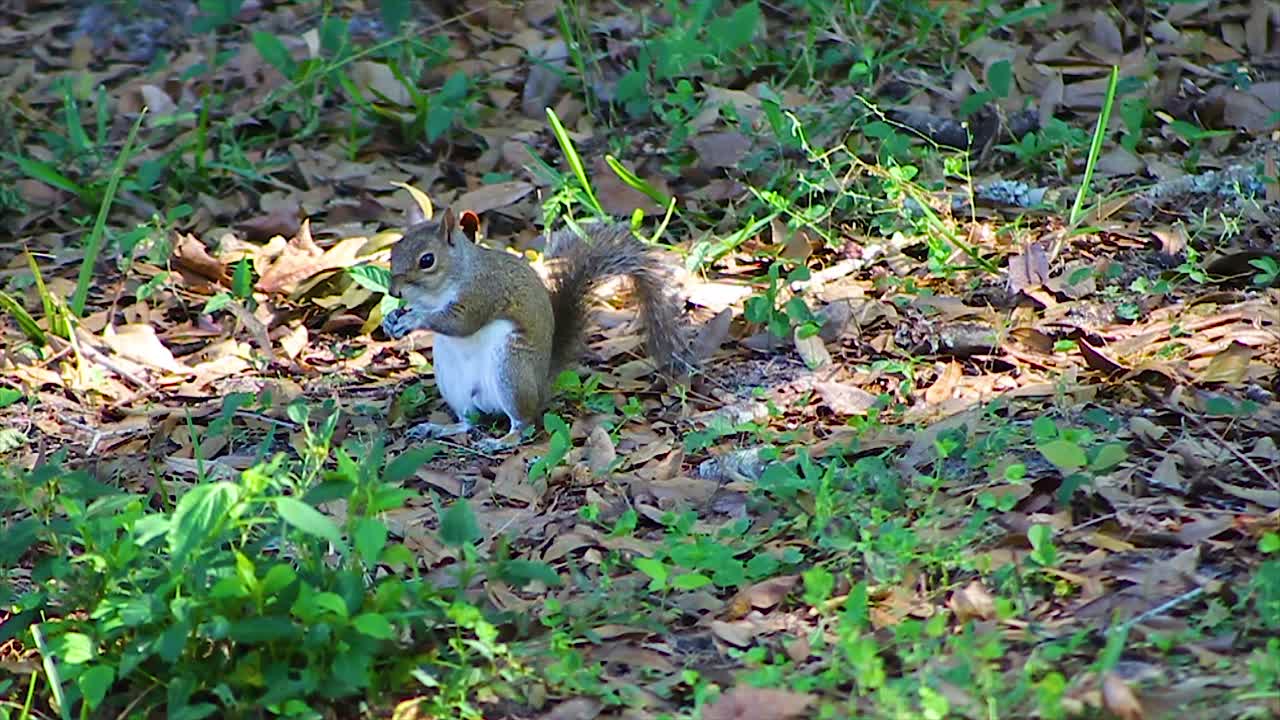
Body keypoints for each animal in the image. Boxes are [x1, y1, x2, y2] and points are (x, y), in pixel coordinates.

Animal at [381, 207, 692, 452]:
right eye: (393, 251)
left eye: (427, 260)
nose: (393, 291)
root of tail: (541, 386)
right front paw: (392, 318)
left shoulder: (483, 292)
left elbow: (460, 323)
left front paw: (413, 319)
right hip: (453, 383)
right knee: (468, 422)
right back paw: (437, 428)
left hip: (512, 368)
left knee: (523, 423)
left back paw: (501, 442)